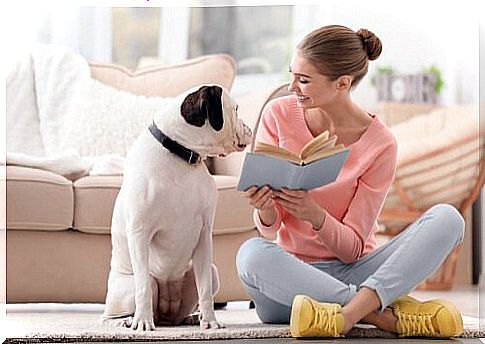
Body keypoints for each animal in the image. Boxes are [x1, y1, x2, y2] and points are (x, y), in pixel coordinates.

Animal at [102, 84, 253, 330]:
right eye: (236, 109)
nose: (248, 127)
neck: (181, 153)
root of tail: (166, 318)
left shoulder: (204, 236)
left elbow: (205, 290)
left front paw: (210, 321)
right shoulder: (139, 233)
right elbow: (143, 288)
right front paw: (142, 322)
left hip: (211, 273)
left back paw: (192, 317)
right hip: (128, 288)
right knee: (122, 305)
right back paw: (126, 320)